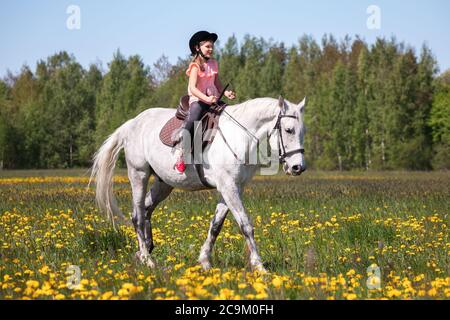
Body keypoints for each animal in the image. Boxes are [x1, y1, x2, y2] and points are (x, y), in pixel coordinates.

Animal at [88, 96, 306, 272]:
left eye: (303, 132)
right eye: (289, 130)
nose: (298, 167)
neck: (239, 136)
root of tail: (132, 123)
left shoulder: (232, 188)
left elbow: (216, 226)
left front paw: (205, 261)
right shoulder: (229, 187)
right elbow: (245, 224)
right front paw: (259, 266)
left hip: (164, 184)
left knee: (146, 209)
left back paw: (143, 252)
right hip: (138, 175)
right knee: (138, 216)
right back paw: (148, 259)